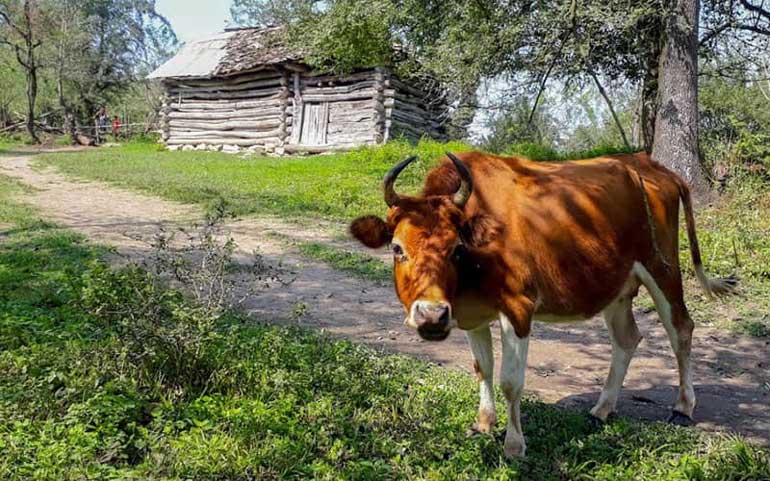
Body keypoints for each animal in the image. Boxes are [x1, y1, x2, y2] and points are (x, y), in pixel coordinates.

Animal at [348, 150, 732, 458]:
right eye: (397, 248)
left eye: (456, 248)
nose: (431, 315)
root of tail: (648, 164)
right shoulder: (471, 314)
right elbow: (482, 368)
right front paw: (483, 424)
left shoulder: (519, 308)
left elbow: (510, 381)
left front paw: (514, 445)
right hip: (617, 285)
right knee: (626, 338)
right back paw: (602, 409)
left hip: (662, 266)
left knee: (680, 328)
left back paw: (683, 407)